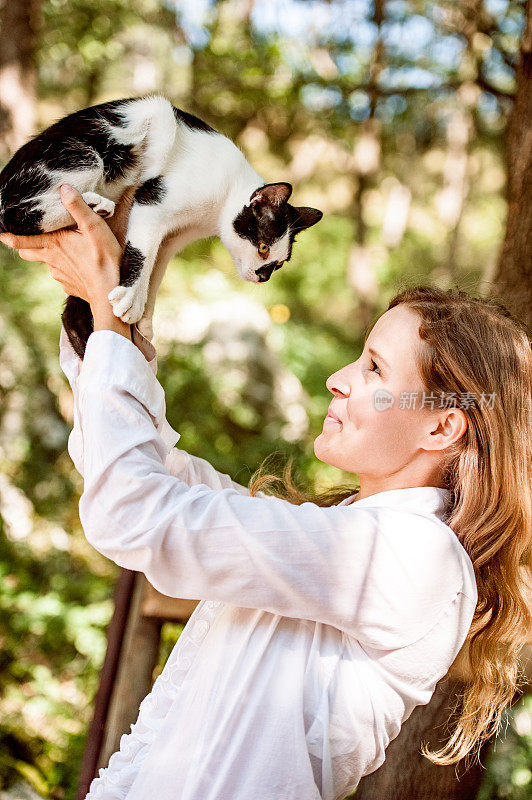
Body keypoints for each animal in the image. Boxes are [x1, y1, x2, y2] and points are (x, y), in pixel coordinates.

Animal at [0, 94, 324, 356]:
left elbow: (156, 269)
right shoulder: (152, 201)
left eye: (279, 264)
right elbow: (143, 253)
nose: (263, 276)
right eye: (263, 247)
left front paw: (144, 317)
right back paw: (92, 204)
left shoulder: (173, 238)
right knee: (12, 214)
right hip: (112, 140)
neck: (221, 200)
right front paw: (132, 297)